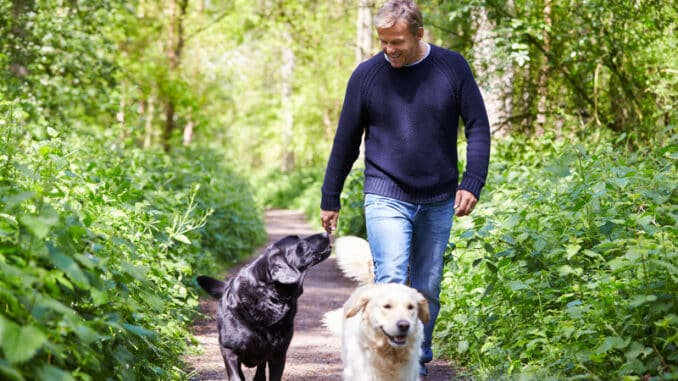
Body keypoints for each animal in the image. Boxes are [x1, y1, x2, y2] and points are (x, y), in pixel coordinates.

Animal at [197, 232, 332, 380]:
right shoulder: (229, 350)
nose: (325, 233)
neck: (269, 298)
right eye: (300, 243)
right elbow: (236, 376)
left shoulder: (279, 353)